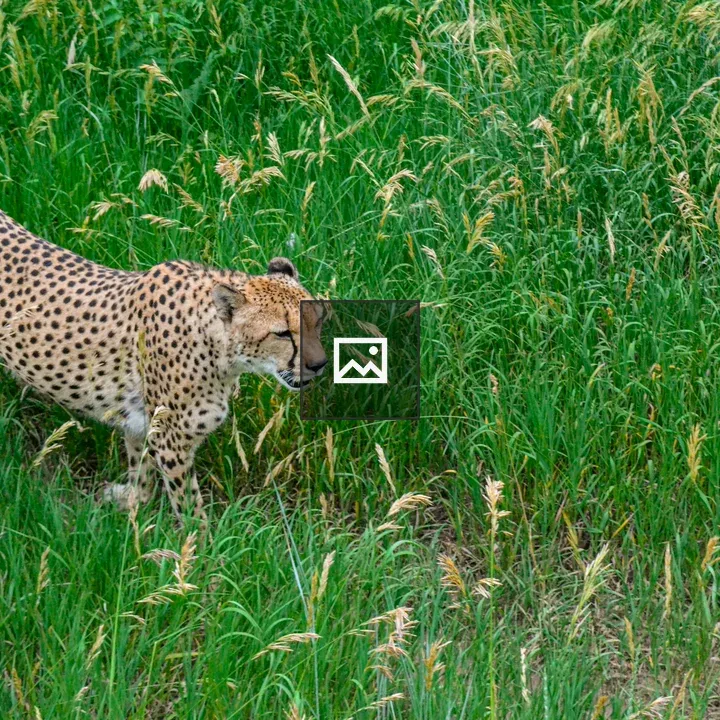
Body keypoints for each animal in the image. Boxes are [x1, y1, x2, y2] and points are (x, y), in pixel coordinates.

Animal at [0, 209, 327, 521]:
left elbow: (140, 469)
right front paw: (201, 541)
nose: (320, 363)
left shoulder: (141, 422)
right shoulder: (171, 438)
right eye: (282, 333)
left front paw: (131, 500)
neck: (219, 349)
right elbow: (188, 506)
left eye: (317, 320)